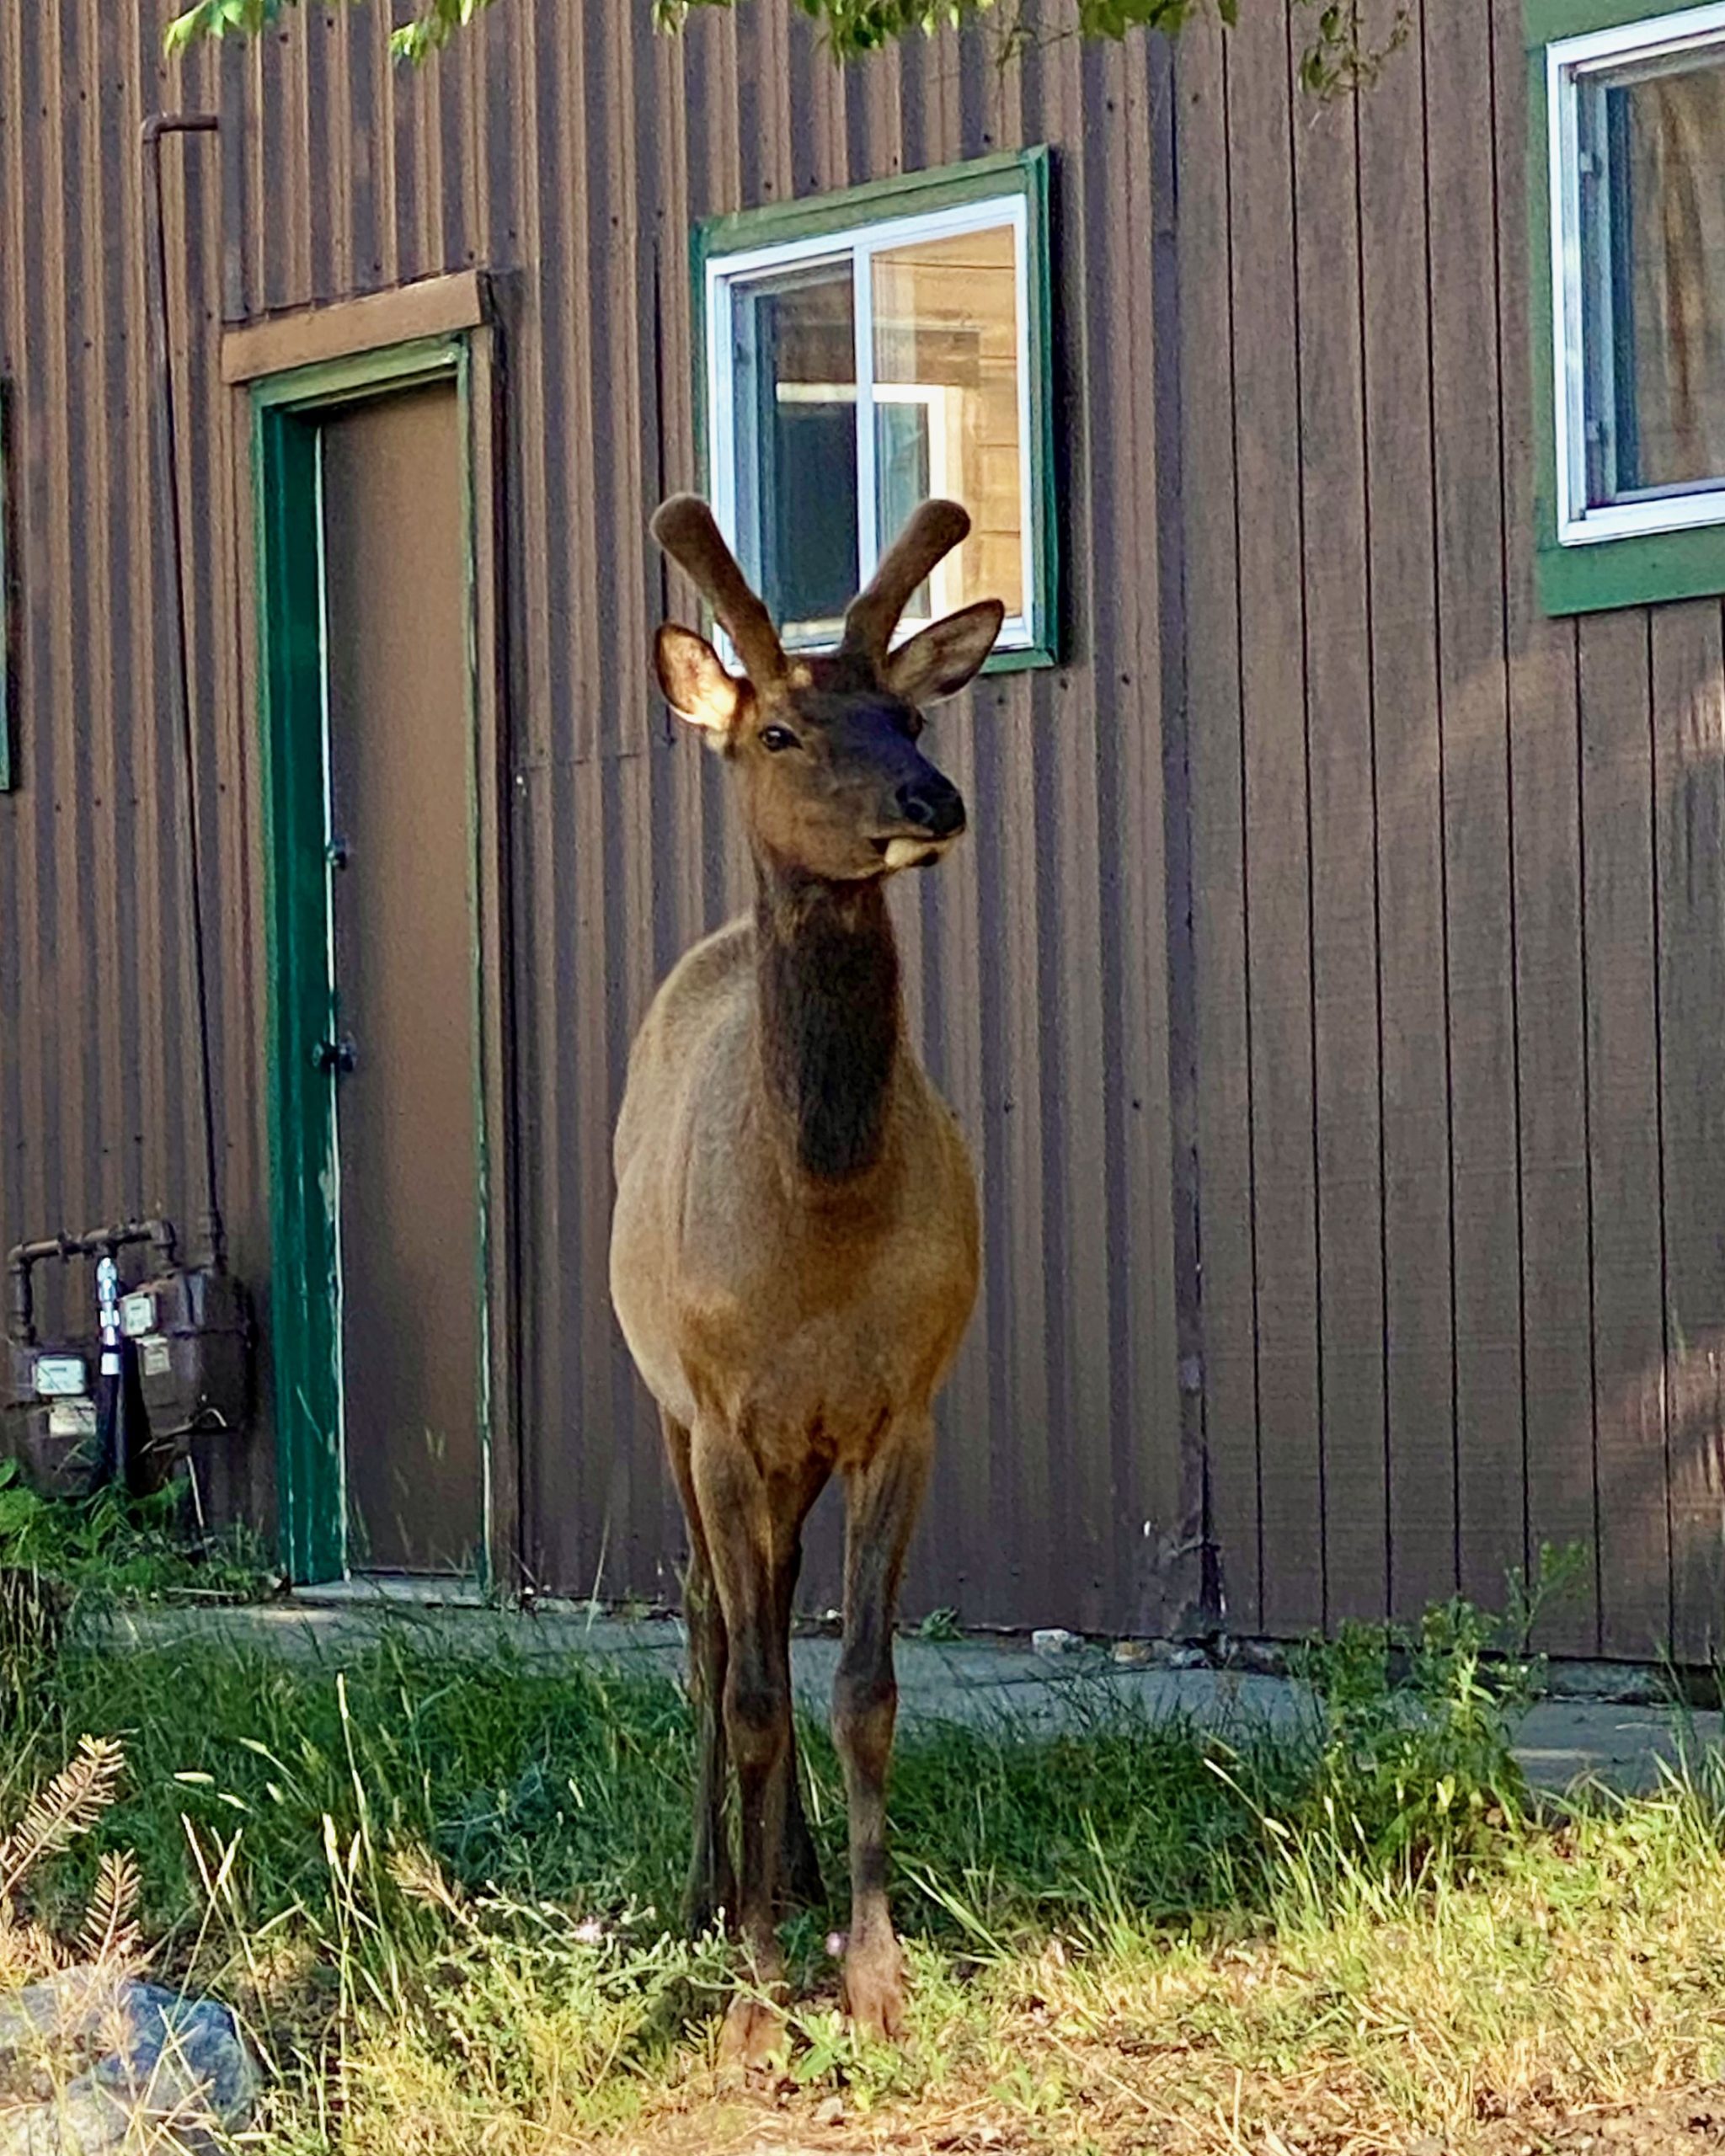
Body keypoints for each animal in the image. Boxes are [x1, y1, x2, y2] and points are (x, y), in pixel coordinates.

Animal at [612, 495, 1004, 2061]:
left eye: (907, 710)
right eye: (778, 728)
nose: (930, 801)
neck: (817, 1237)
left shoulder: (907, 1405)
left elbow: (862, 1691)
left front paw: (874, 1975)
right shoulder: (720, 1411)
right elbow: (755, 1694)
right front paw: (755, 2001)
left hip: (795, 1455)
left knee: (771, 1619)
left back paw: (781, 1876)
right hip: (669, 1413)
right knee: (715, 1634)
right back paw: (708, 1893)